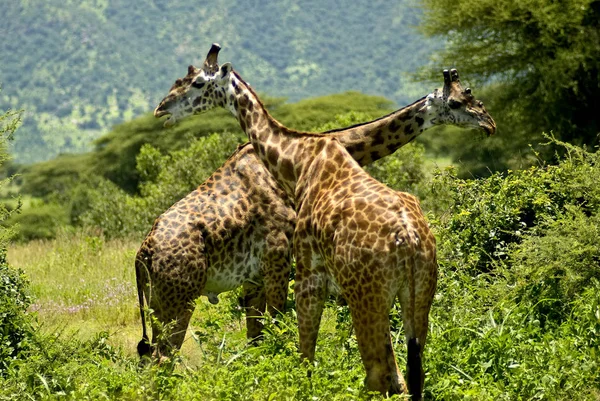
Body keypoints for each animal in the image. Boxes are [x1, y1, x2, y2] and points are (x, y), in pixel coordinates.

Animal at [152, 43, 494, 396]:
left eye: (196, 83)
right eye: (459, 100)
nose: (162, 109)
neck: (300, 157)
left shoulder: (300, 270)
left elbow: (296, 349)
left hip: (369, 295)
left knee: (381, 374)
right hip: (416, 293)